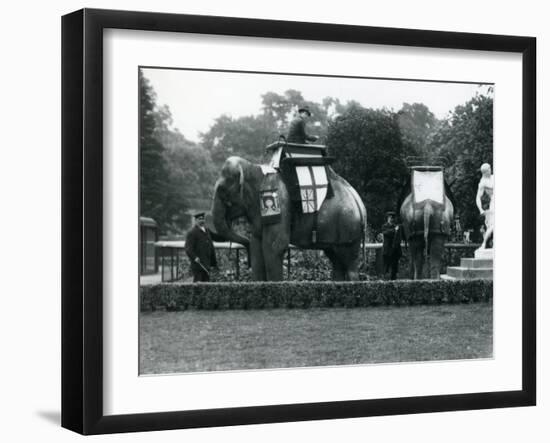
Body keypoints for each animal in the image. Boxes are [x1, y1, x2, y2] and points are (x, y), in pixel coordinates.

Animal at [211, 156, 366, 280]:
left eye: (222, 190)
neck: (252, 167)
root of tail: (359, 202)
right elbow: (256, 245)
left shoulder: (279, 201)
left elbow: (274, 247)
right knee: (336, 261)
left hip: (348, 227)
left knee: (349, 263)